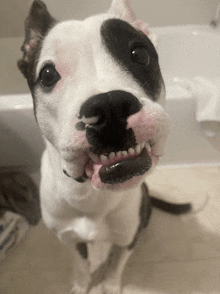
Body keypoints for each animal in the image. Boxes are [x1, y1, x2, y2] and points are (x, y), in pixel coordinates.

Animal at [18, 1, 192, 292]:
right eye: (48, 74)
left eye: (139, 54)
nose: (110, 106)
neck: (90, 195)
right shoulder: (69, 239)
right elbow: (80, 265)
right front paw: (81, 284)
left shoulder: (126, 237)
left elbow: (116, 265)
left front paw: (109, 284)